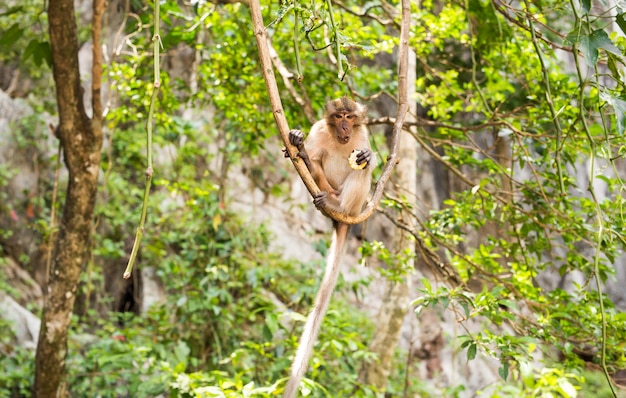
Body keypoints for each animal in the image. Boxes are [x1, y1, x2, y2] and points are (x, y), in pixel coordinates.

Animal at [284, 97, 376, 398]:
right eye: (338, 116)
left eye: (349, 116)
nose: (345, 126)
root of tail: (342, 219)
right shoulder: (319, 130)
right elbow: (310, 152)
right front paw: (298, 145)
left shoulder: (362, 135)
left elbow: (366, 161)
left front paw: (368, 157)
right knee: (315, 163)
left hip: (356, 206)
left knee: (362, 173)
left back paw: (339, 204)